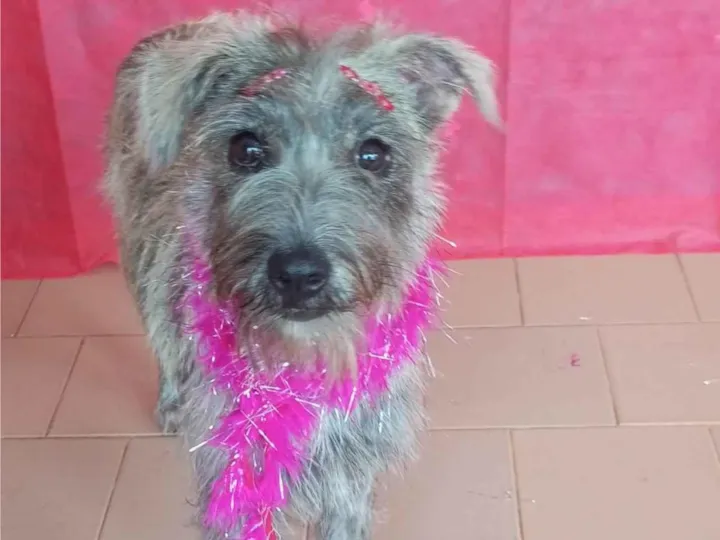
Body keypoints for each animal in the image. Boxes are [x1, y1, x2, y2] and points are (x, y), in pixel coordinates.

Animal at [103, 11, 498, 539]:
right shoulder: (233, 474)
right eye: (245, 148)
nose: (298, 273)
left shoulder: (352, 465)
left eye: (374, 154)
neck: (307, 358)